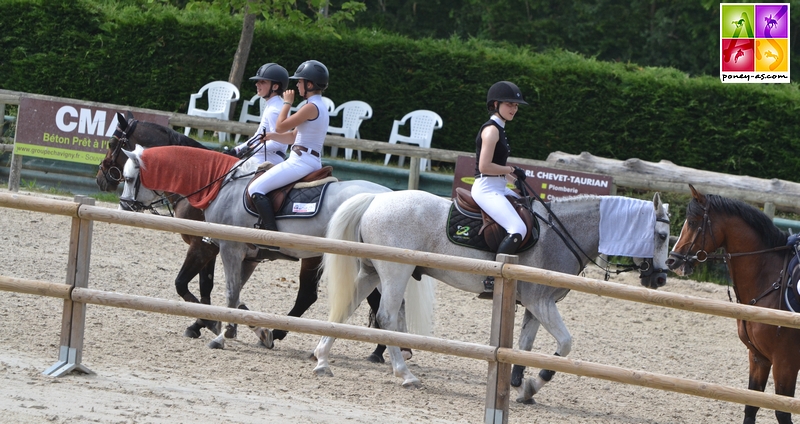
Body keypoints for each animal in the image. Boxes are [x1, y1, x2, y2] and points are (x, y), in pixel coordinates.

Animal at [312, 189, 668, 400]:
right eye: (662, 235)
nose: (661, 278)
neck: (561, 234)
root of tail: (375, 199)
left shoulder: (536, 305)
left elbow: (525, 346)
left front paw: (520, 384)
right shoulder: (541, 302)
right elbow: (565, 345)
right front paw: (536, 381)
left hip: (372, 272)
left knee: (345, 308)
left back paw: (322, 360)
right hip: (395, 272)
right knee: (385, 317)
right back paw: (405, 374)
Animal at [664, 185, 796, 424]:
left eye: (694, 222)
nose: (672, 261)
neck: (771, 279)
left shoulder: (785, 361)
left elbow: (782, 413)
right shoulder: (759, 358)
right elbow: (751, 406)